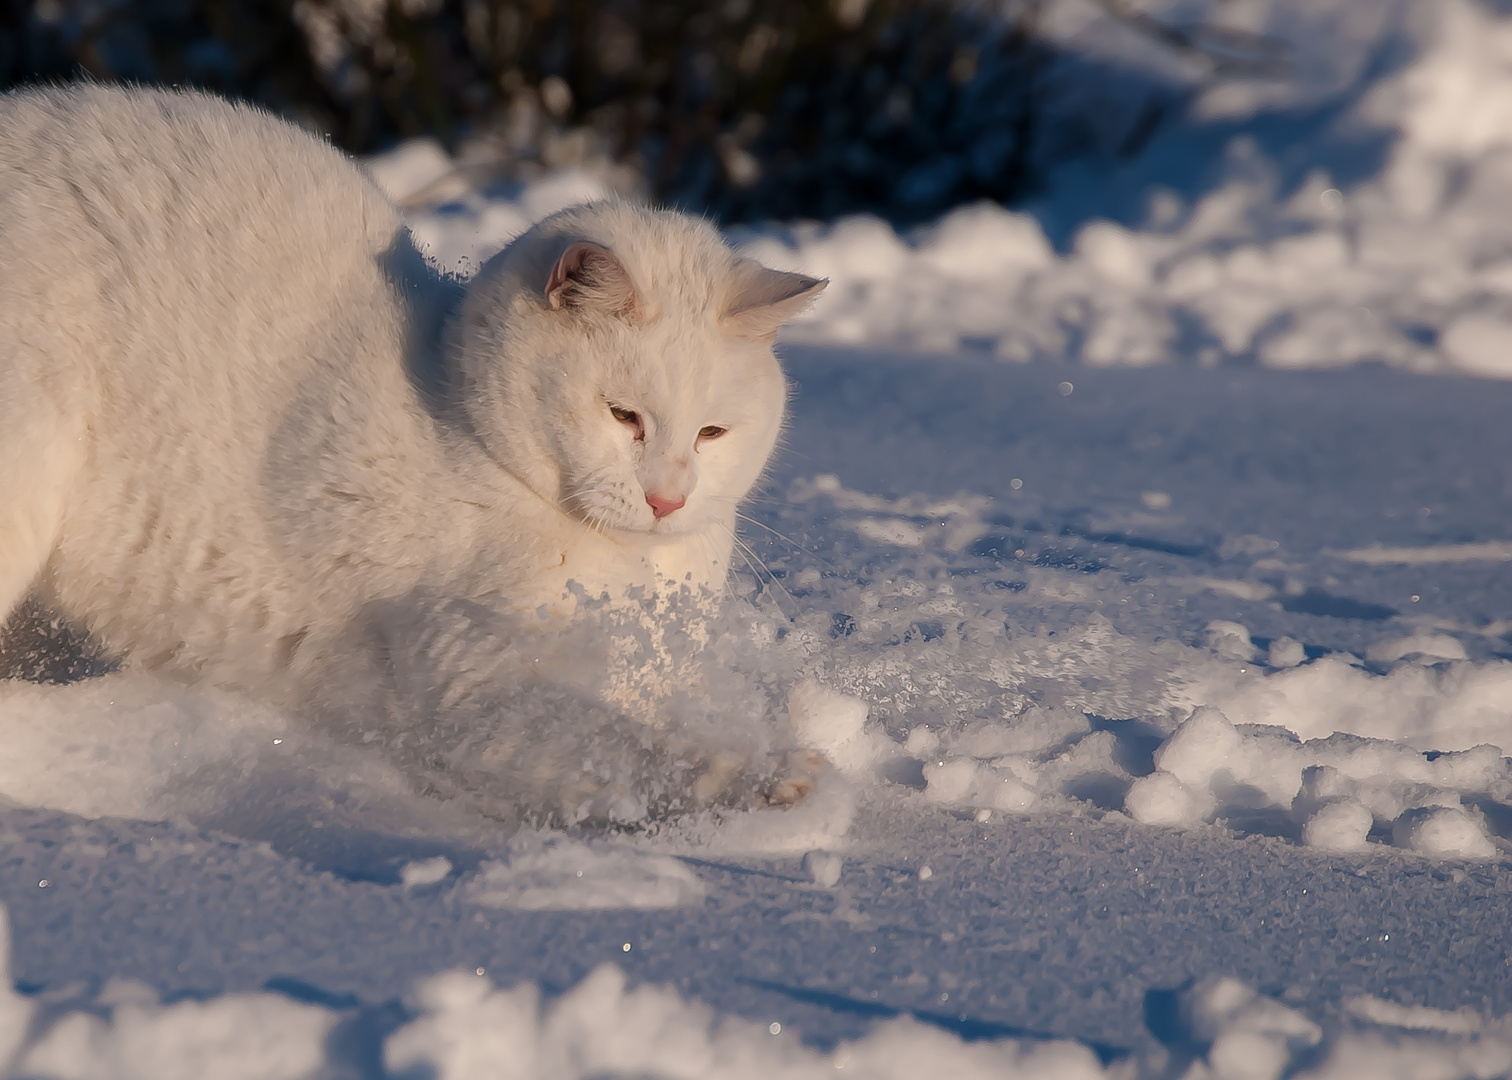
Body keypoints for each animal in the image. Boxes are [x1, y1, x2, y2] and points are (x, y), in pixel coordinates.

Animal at [0, 86, 828, 822]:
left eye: (712, 433)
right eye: (623, 415)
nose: (667, 498)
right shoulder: (475, 678)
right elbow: (618, 751)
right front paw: (764, 777)